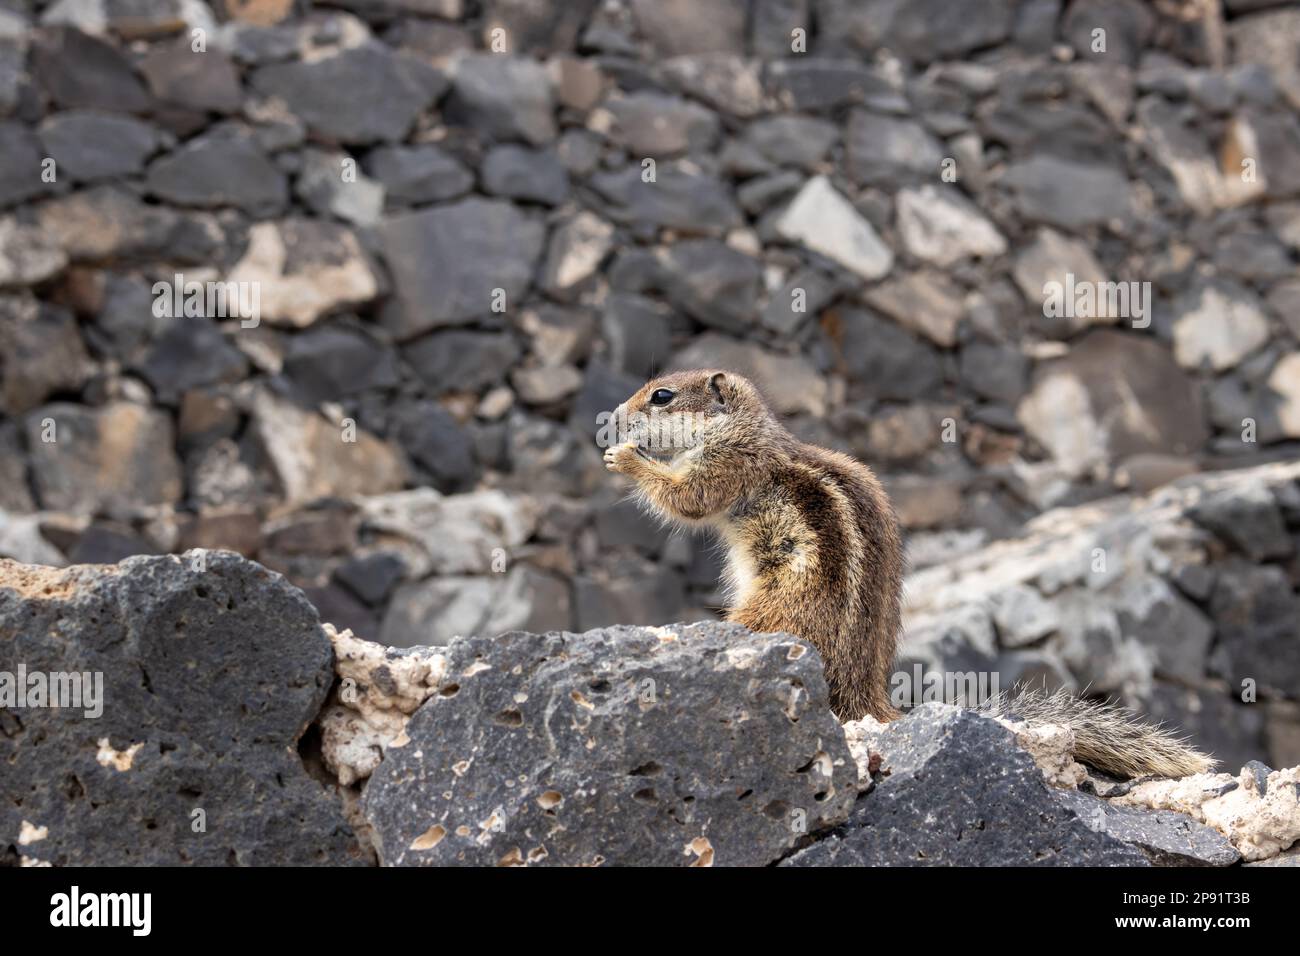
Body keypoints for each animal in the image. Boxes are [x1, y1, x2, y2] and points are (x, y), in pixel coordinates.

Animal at [603, 369, 1211, 780]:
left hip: (775, 609)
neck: (747, 429)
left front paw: (625, 458)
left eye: (661, 396)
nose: (612, 416)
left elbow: (688, 498)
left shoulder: (729, 464)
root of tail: (866, 696)